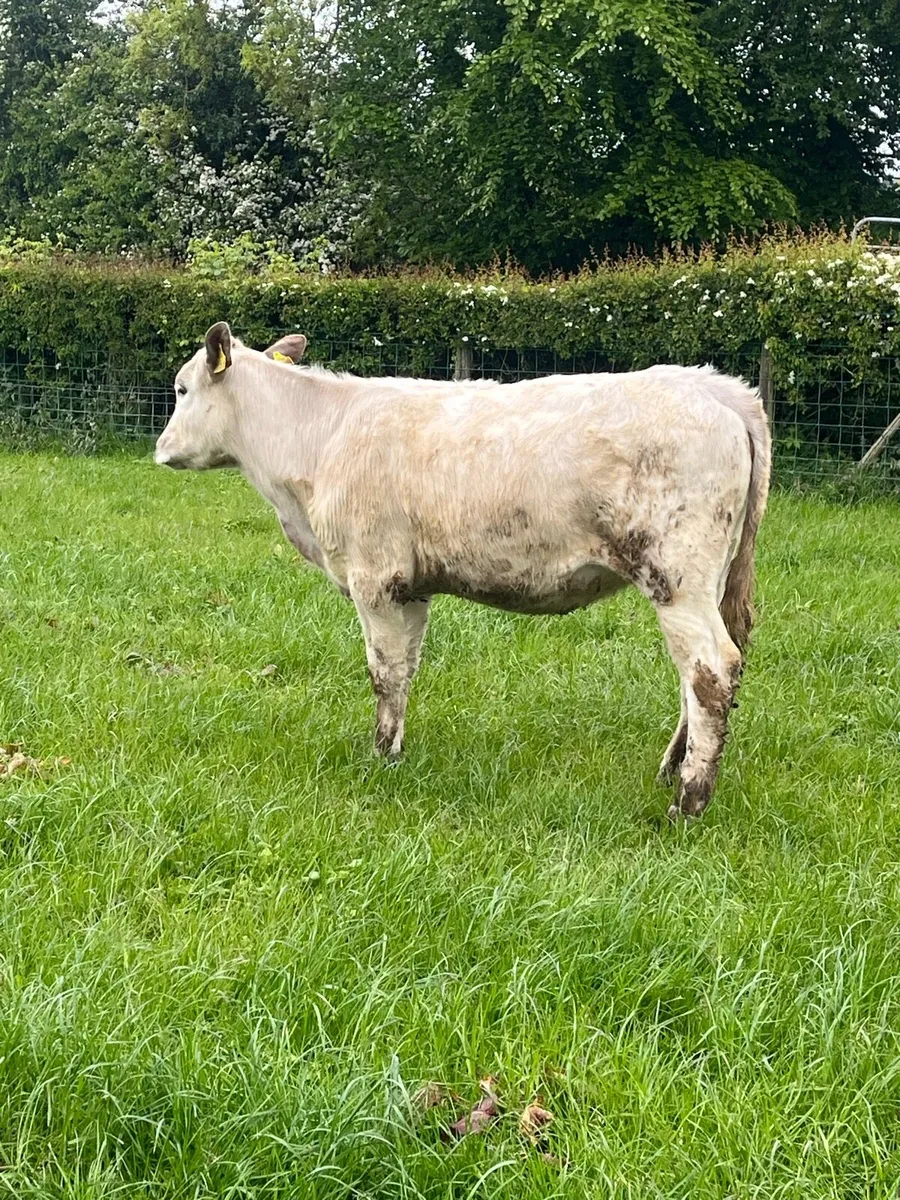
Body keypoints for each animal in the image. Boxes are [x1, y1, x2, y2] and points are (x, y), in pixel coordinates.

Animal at [155, 322, 770, 819]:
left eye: (182, 390)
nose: (160, 451)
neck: (317, 440)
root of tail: (714, 386)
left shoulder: (373, 577)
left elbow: (382, 672)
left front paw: (380, 758)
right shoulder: (410, 587)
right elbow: (405, 669)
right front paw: (396, 753)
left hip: (677, 574)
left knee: (710, 670)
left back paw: (688, 801)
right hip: (707, 580)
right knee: (698, 674)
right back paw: (672, 769)